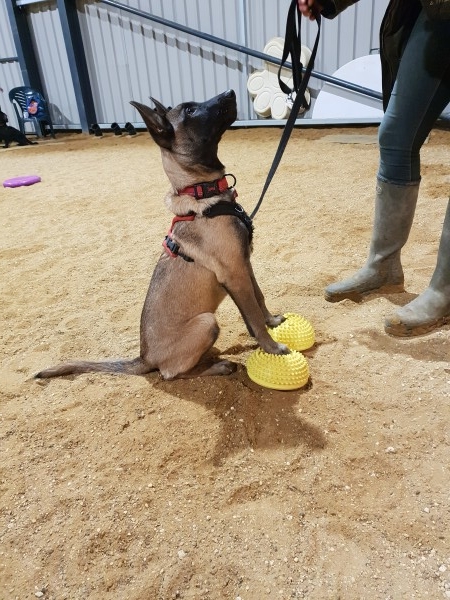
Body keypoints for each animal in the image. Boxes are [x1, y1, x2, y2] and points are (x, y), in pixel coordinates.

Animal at [35, 89, 288, 380]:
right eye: (189, 111)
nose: (230, 92)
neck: (203, 193)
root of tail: (144, 357)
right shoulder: (235, 275)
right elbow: (254, 317)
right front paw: (272, 347)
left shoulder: (245, 265)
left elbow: (259, 298)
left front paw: (273, 321)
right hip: (207, 322)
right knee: (172, 374)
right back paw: (218, 366)